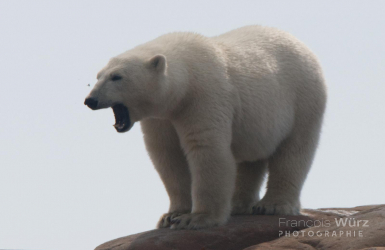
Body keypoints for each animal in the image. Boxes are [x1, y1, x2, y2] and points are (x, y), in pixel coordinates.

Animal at [85, 25, 328, 230]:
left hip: (303, 99)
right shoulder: (161, 117)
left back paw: (272, 205)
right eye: (98, 76)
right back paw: (237, 204)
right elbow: (168, 156)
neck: (185, 77)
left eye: (117, 76)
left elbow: (207, 150)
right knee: (250, 158)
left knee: (294, 151)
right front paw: (170, 215)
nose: (90, 100)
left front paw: (195, 218)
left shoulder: (204, 97)